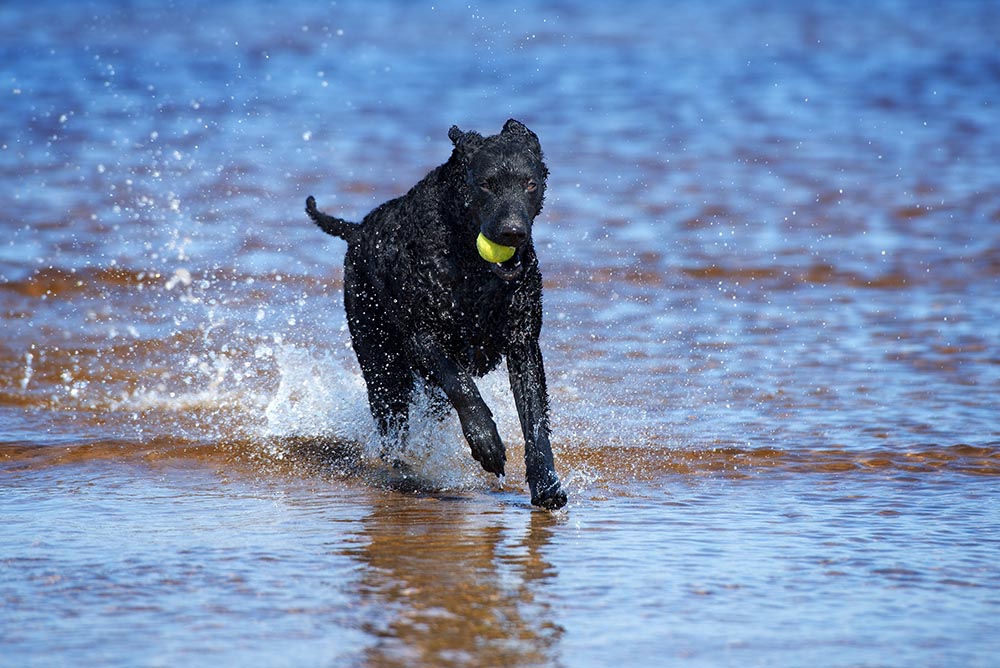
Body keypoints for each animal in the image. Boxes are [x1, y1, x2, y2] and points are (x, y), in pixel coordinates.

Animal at [304, 120, 568, 508]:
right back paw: (403, 470)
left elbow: (534, 419)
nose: (513, 233)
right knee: (392, 426)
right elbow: (463, 387)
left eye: (530, 184)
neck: (472, 267)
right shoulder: (424, 335)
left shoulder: (524, 343)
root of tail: (359, 230)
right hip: (381, 364)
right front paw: (486, 442)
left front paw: (547, 485)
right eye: (486, 184)